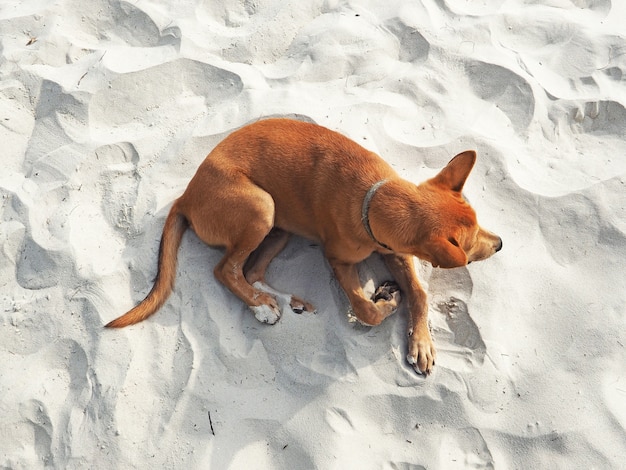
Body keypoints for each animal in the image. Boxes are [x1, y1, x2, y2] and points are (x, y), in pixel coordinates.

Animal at [105, 119, 500, 376]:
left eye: (480, 223)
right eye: (471, 244)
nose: (499, 244)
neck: (373, 197)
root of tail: (186, 195)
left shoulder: (395, 250)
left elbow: (419, 293)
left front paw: (421, 342)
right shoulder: (338, 259)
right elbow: (365, 309)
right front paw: (384, 303)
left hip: (279, 227)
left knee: (251, 270)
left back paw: (280, 301)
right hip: (261, 207)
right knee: (224, 269)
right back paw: (264, 305)